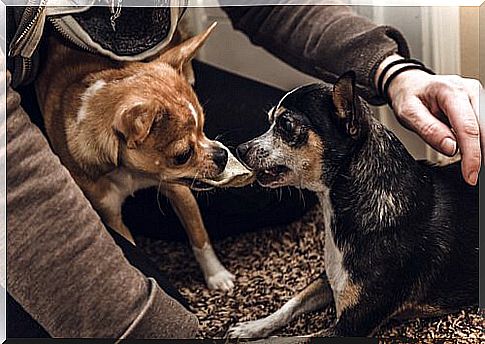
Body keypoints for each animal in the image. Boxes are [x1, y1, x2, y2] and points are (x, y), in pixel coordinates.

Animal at [229, 71, 478, 338]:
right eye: (269, 121)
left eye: (286, 125)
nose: (240, 149)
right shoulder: (328, 279)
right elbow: (291, 303)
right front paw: (252, 327)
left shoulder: (348, 327)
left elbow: (291, 339)